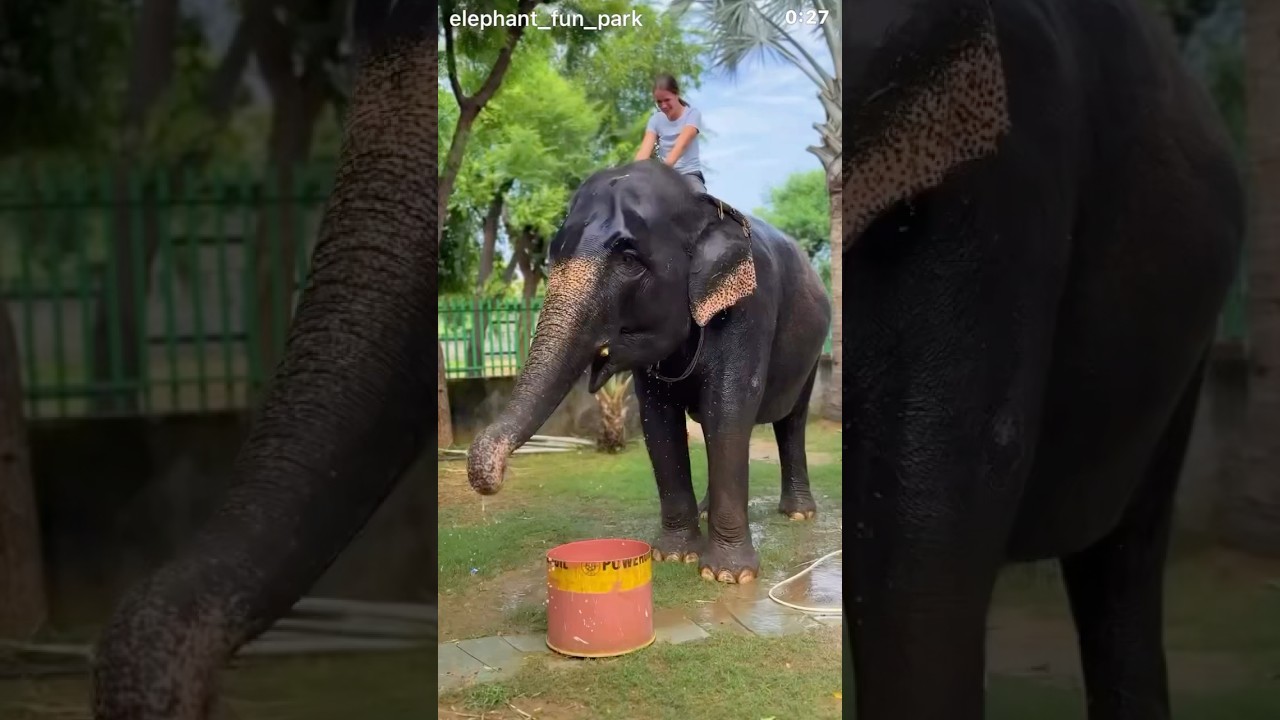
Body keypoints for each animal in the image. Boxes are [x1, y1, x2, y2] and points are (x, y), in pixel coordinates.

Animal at [466, 160, 832, 584]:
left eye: (628, 260)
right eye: (553, 255)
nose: (490, 478)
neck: (704, 207)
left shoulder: (750, 308)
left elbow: (728, 409)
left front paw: (726, 576)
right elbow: (658, 419)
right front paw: (673, 556)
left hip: (812, 353)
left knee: (792, 421)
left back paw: (799, 514)